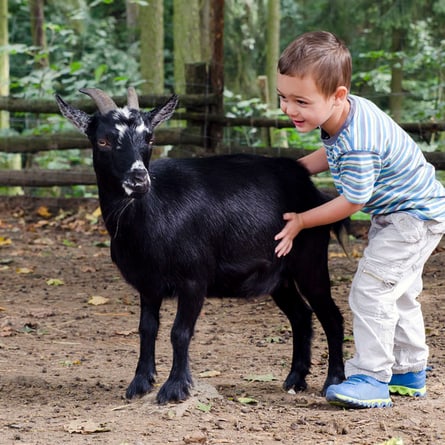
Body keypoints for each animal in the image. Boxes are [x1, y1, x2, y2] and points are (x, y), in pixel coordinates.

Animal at [55, 88, 346, 404]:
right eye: (103, 140)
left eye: (150, 138)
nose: (139, 180)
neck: (151, 216)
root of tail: (314, 191)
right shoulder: (148, 283)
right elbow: (147, 329)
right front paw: (140, 383)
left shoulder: (194, 279)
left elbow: (179, 332)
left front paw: (175, 388)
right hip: (279, 277)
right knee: (301, 316)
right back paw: (295, 378)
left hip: (310, 261)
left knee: (331, 316)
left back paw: (333, 380)